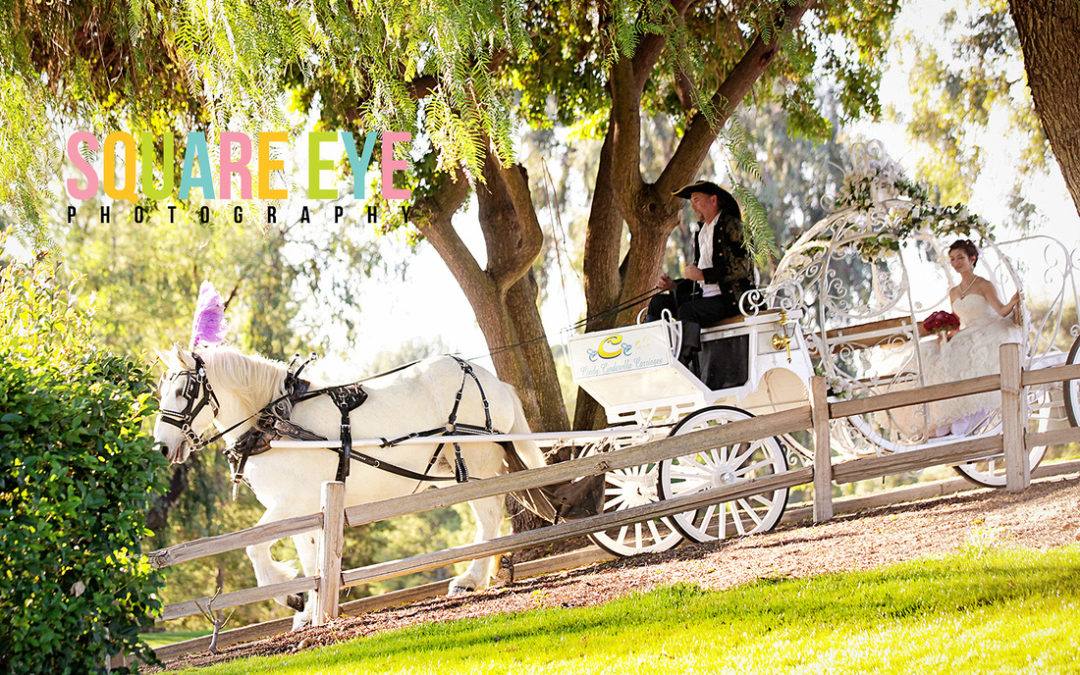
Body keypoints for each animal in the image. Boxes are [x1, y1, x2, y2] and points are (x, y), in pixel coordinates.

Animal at [152, 347, 552, 626]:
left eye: (185, 390)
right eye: (161, 390)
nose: (162, 447)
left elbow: (254, 546)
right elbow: (309, 557)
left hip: (475, 461)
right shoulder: (303, 509)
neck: (276, 423)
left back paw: (470, 579)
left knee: (488, 516)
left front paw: (290, 598)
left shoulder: (287, 502)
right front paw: (308, 609)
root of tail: (493, 381)